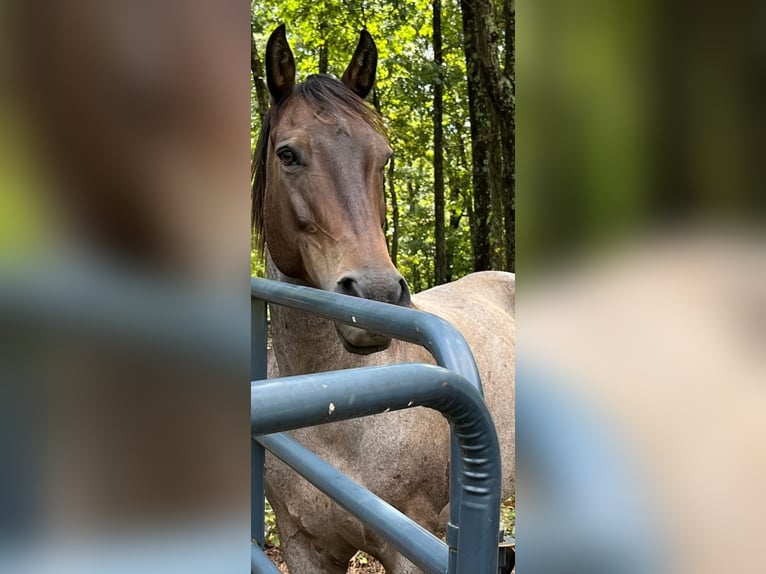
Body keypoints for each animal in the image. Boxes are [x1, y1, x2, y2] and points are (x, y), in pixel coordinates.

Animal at [256, 25, 516, 574]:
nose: (375, 294)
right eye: (287, 154)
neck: (339, 404)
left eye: (385, 157)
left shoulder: (412, 549)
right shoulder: (301, 543)